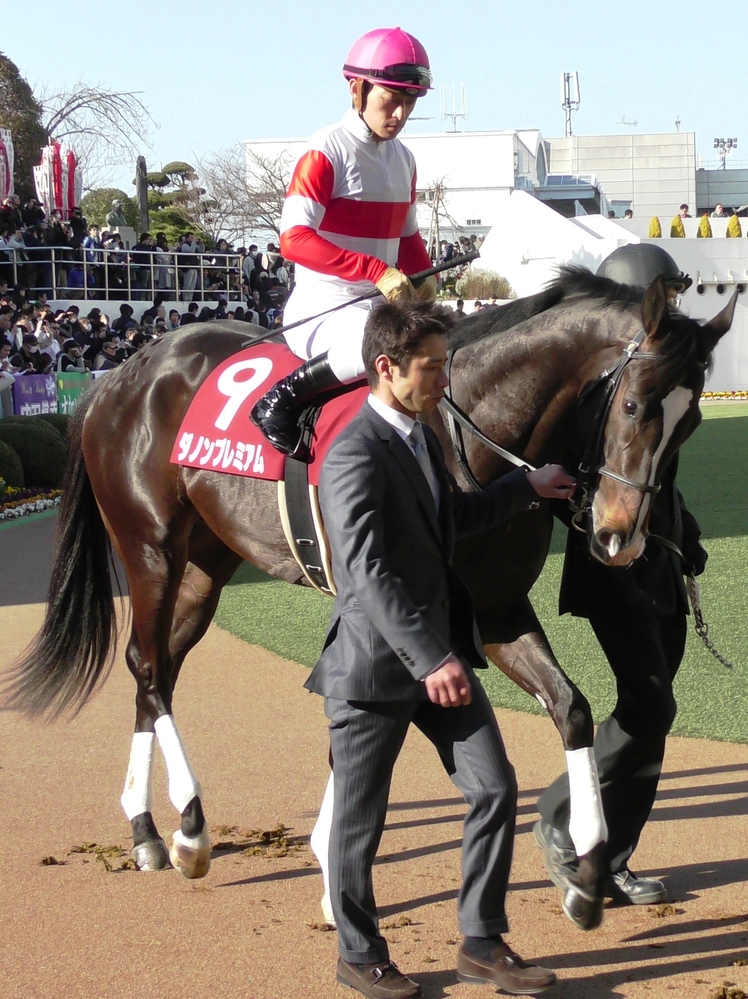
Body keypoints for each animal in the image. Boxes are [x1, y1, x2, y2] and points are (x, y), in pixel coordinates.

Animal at [4, 268, 735, 931]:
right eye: (634, 406)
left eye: (693, 419)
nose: (621, 537)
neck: (469, 430)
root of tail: (120, 376)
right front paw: (339, 876)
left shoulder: (495, 609)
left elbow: (572, 709)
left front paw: (584, 873)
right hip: (150, 547)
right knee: (152, 666)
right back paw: (187, 828)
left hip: (207, 563)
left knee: (153, 664)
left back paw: (145, 827)